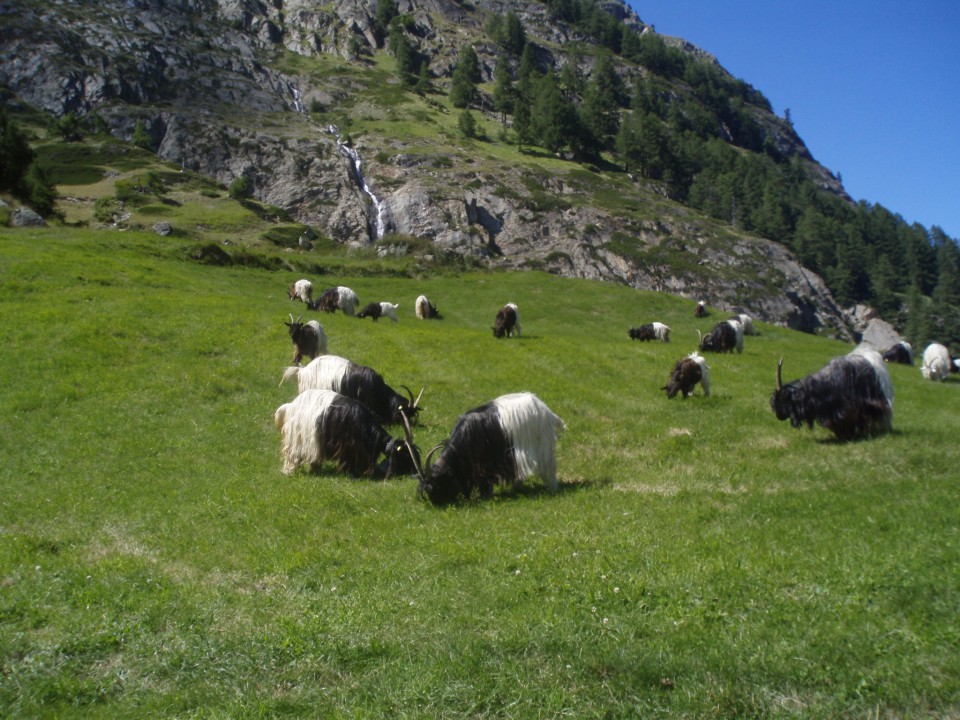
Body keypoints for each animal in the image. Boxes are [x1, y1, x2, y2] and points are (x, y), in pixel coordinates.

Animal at [272, 388, 418, 478]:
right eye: (405, 455)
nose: (414, 470)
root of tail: (291, 406)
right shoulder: (349, 446)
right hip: (296, 438)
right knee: (292, 456)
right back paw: (289, 472)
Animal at [404, 390, 568, 504]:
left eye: (437, 485)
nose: (437, 503)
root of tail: (547, 412)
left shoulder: (483, 463)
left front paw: (485, 496)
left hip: (542, 444)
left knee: (549, 465)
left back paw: (552, 488)